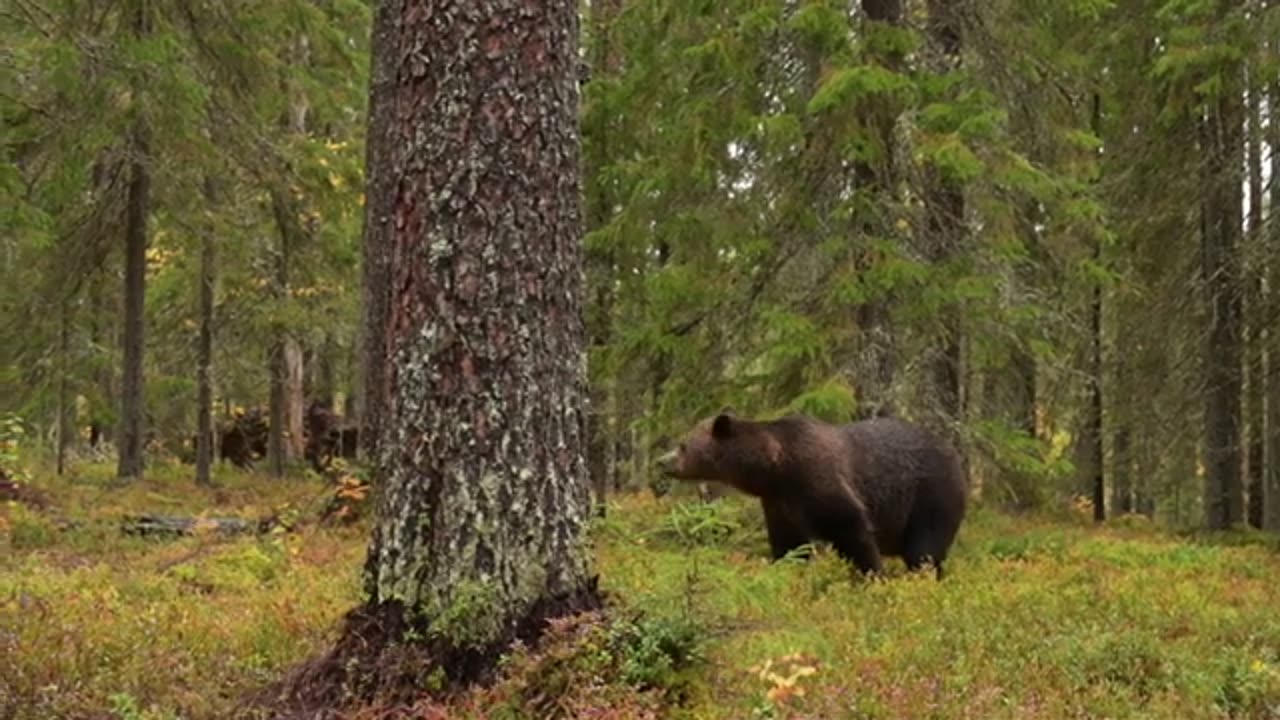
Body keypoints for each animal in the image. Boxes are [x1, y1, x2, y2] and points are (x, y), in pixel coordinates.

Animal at [655, 409, 962, 576]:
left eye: (683, 444)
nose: (662, 461)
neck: (776, 468)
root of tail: (954, 452)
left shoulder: (819, 481)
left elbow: (852, 530)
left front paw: (872, 574)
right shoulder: (780, 504)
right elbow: (789, 545)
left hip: (930, 493)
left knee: (924, 548)